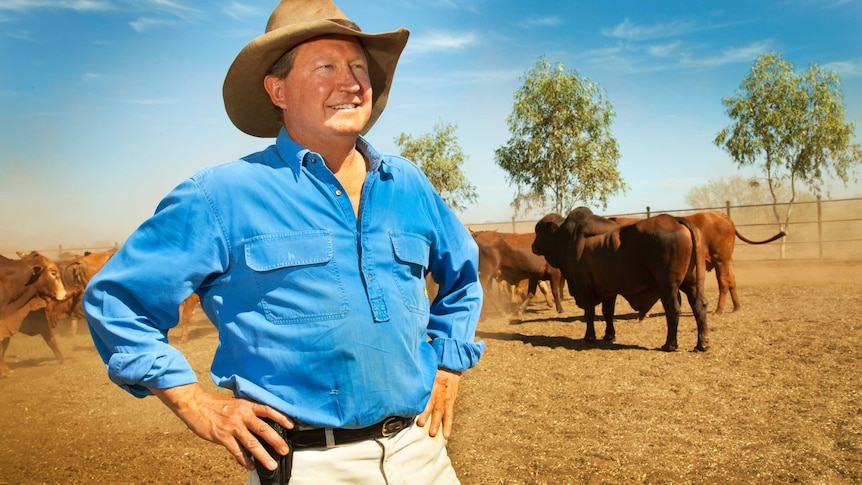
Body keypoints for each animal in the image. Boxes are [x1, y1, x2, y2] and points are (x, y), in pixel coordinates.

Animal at [532, 208, 708, 352]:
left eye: (539, 232)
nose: (533, 246)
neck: (568, 239)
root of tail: (676, 219)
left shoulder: (583, 286)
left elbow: (589, 312)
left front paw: (589, 337)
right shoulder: (608, 289)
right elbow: (607, 312)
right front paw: (609, 335)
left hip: (667, 285)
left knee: (673, 309)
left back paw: (670, 344)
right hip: (691, 282)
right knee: (699, 305)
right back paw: (702, 344)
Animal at [612, 213, 788, 314]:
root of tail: (724, 217)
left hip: (720, 258)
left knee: (723, 281)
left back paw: (719, 310)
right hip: (724, 260)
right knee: (731, 279)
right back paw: (736, 306)